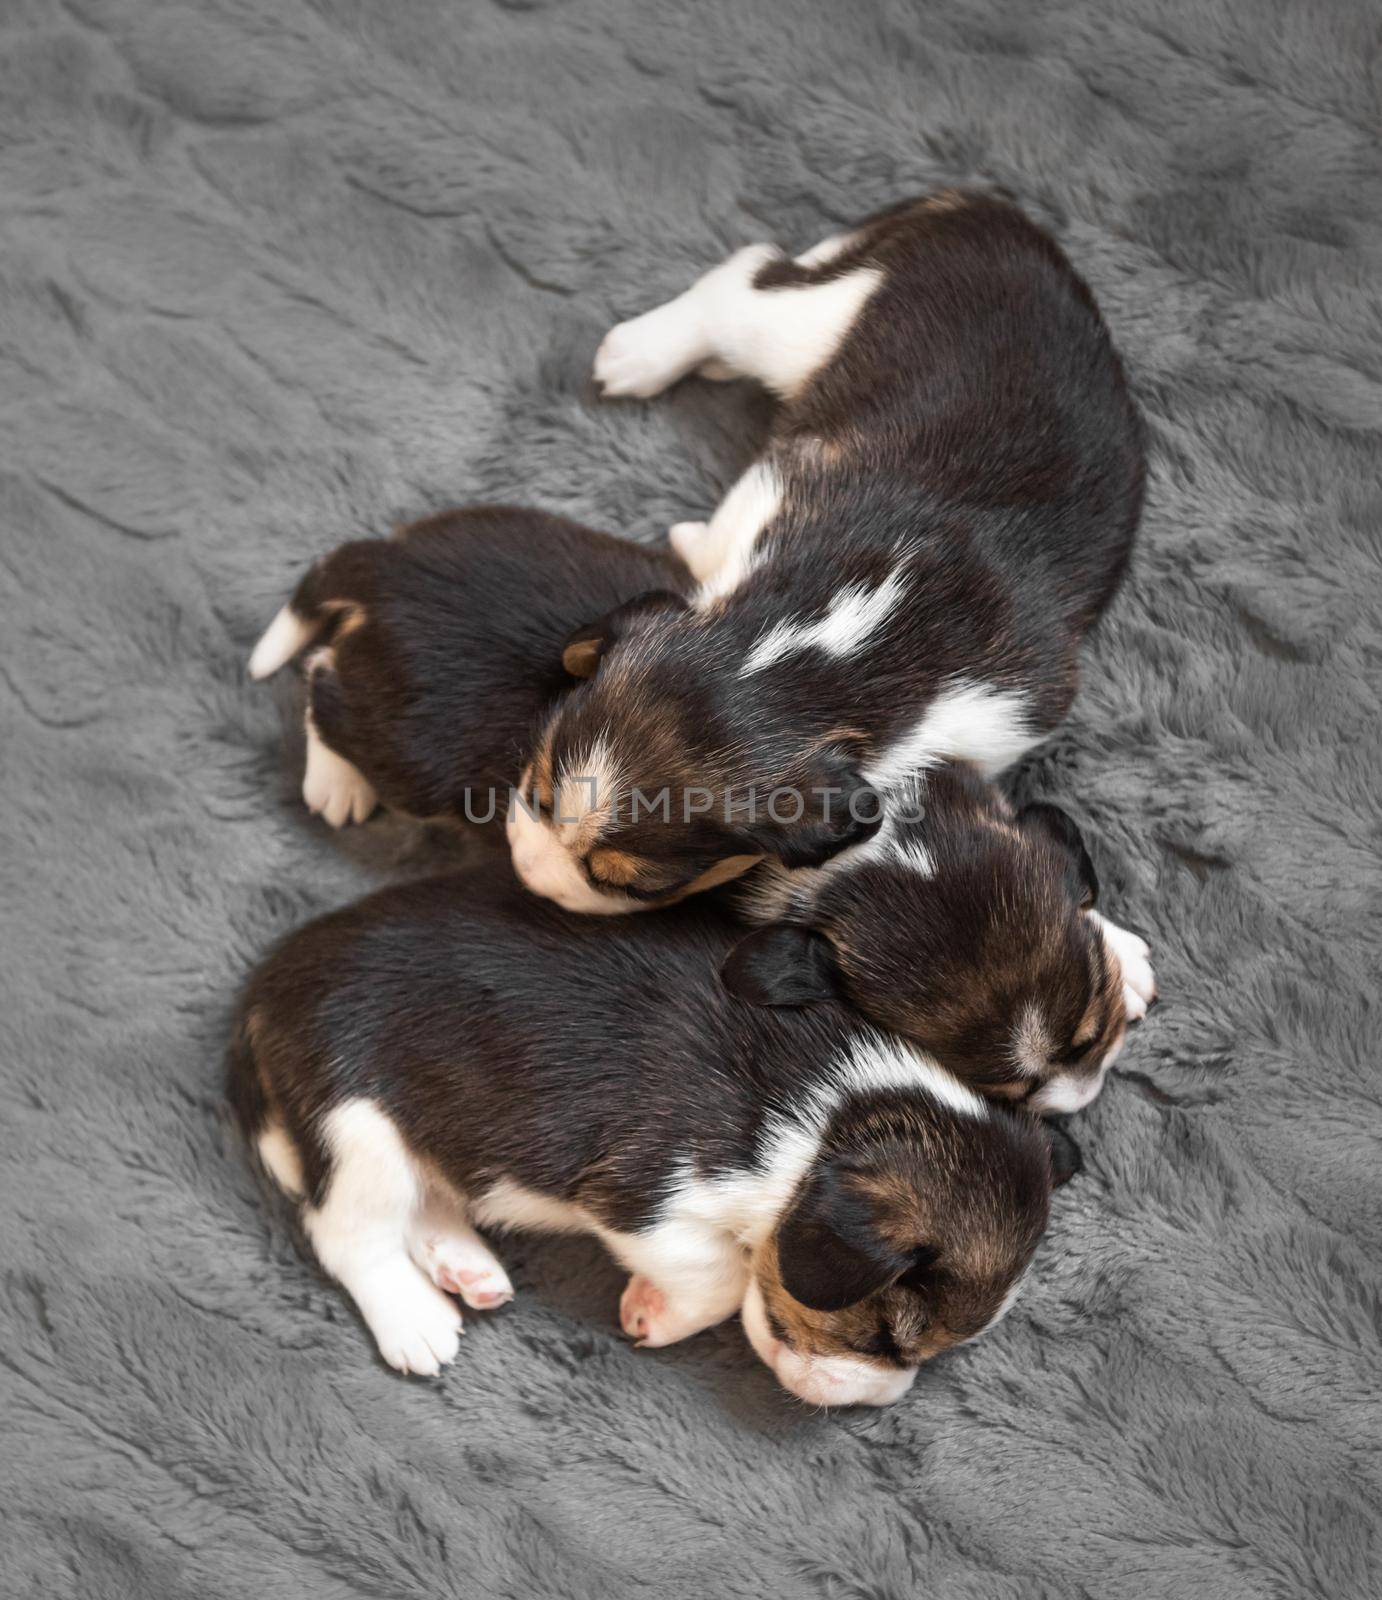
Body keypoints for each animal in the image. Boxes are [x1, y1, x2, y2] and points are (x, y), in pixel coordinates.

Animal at [228, 864, 1081, 1401]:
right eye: (886, 1341)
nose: (882, 1403)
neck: (834, 1121)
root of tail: (262, 990)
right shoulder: (648, 1196)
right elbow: (720, 1276)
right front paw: (651, 1313)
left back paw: (467, 1268)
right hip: (356, 1125)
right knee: (350, 1234)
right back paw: (415, 1321)